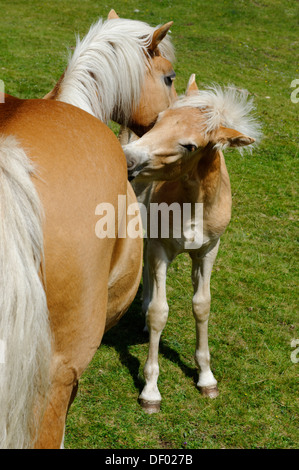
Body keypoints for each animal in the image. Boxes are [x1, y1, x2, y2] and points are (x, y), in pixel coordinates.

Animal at [123, 75, 262, 414]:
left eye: (191, 146)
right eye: (159, 121)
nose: (129, 158)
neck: (193, 204)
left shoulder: (208, 251)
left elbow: (202, 305)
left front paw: (207, 378)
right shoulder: (161, 249)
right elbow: (160, 311)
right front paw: (150, 392)